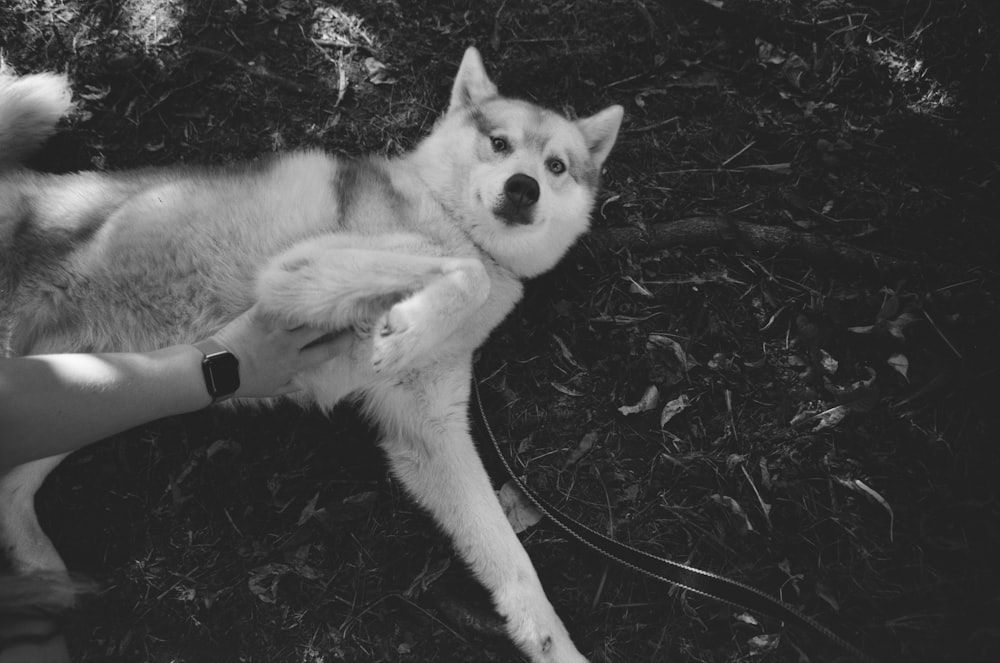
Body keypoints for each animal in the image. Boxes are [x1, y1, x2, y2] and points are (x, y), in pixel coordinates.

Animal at [0, 48, 620, 663]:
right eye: (499, 143)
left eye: (557, 166)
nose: (523, 187)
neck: (453, 223)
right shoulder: (296, 270)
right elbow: (464, 272)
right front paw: (409, 329)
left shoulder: (429, 433)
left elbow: (514, 563)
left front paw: (554, 646)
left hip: (86, 385)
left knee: (11, 487)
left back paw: (41, 578)